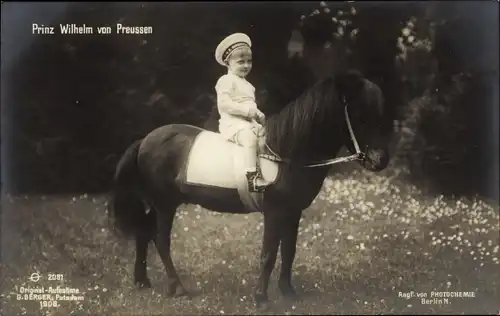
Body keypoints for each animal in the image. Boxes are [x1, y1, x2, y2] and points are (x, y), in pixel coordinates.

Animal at [108, 69, 390, 312]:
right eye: (361, 115)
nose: (381, 160)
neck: (286, 153)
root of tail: (145, 140)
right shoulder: (274, 213)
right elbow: (268, 255)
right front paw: (262, 299)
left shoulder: (293, 212)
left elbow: (289, 251)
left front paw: (288, 292)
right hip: (165, 204)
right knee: (160, 240)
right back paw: (177, 288)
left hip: (154, 204)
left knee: (144, 233)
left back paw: (142, 281)